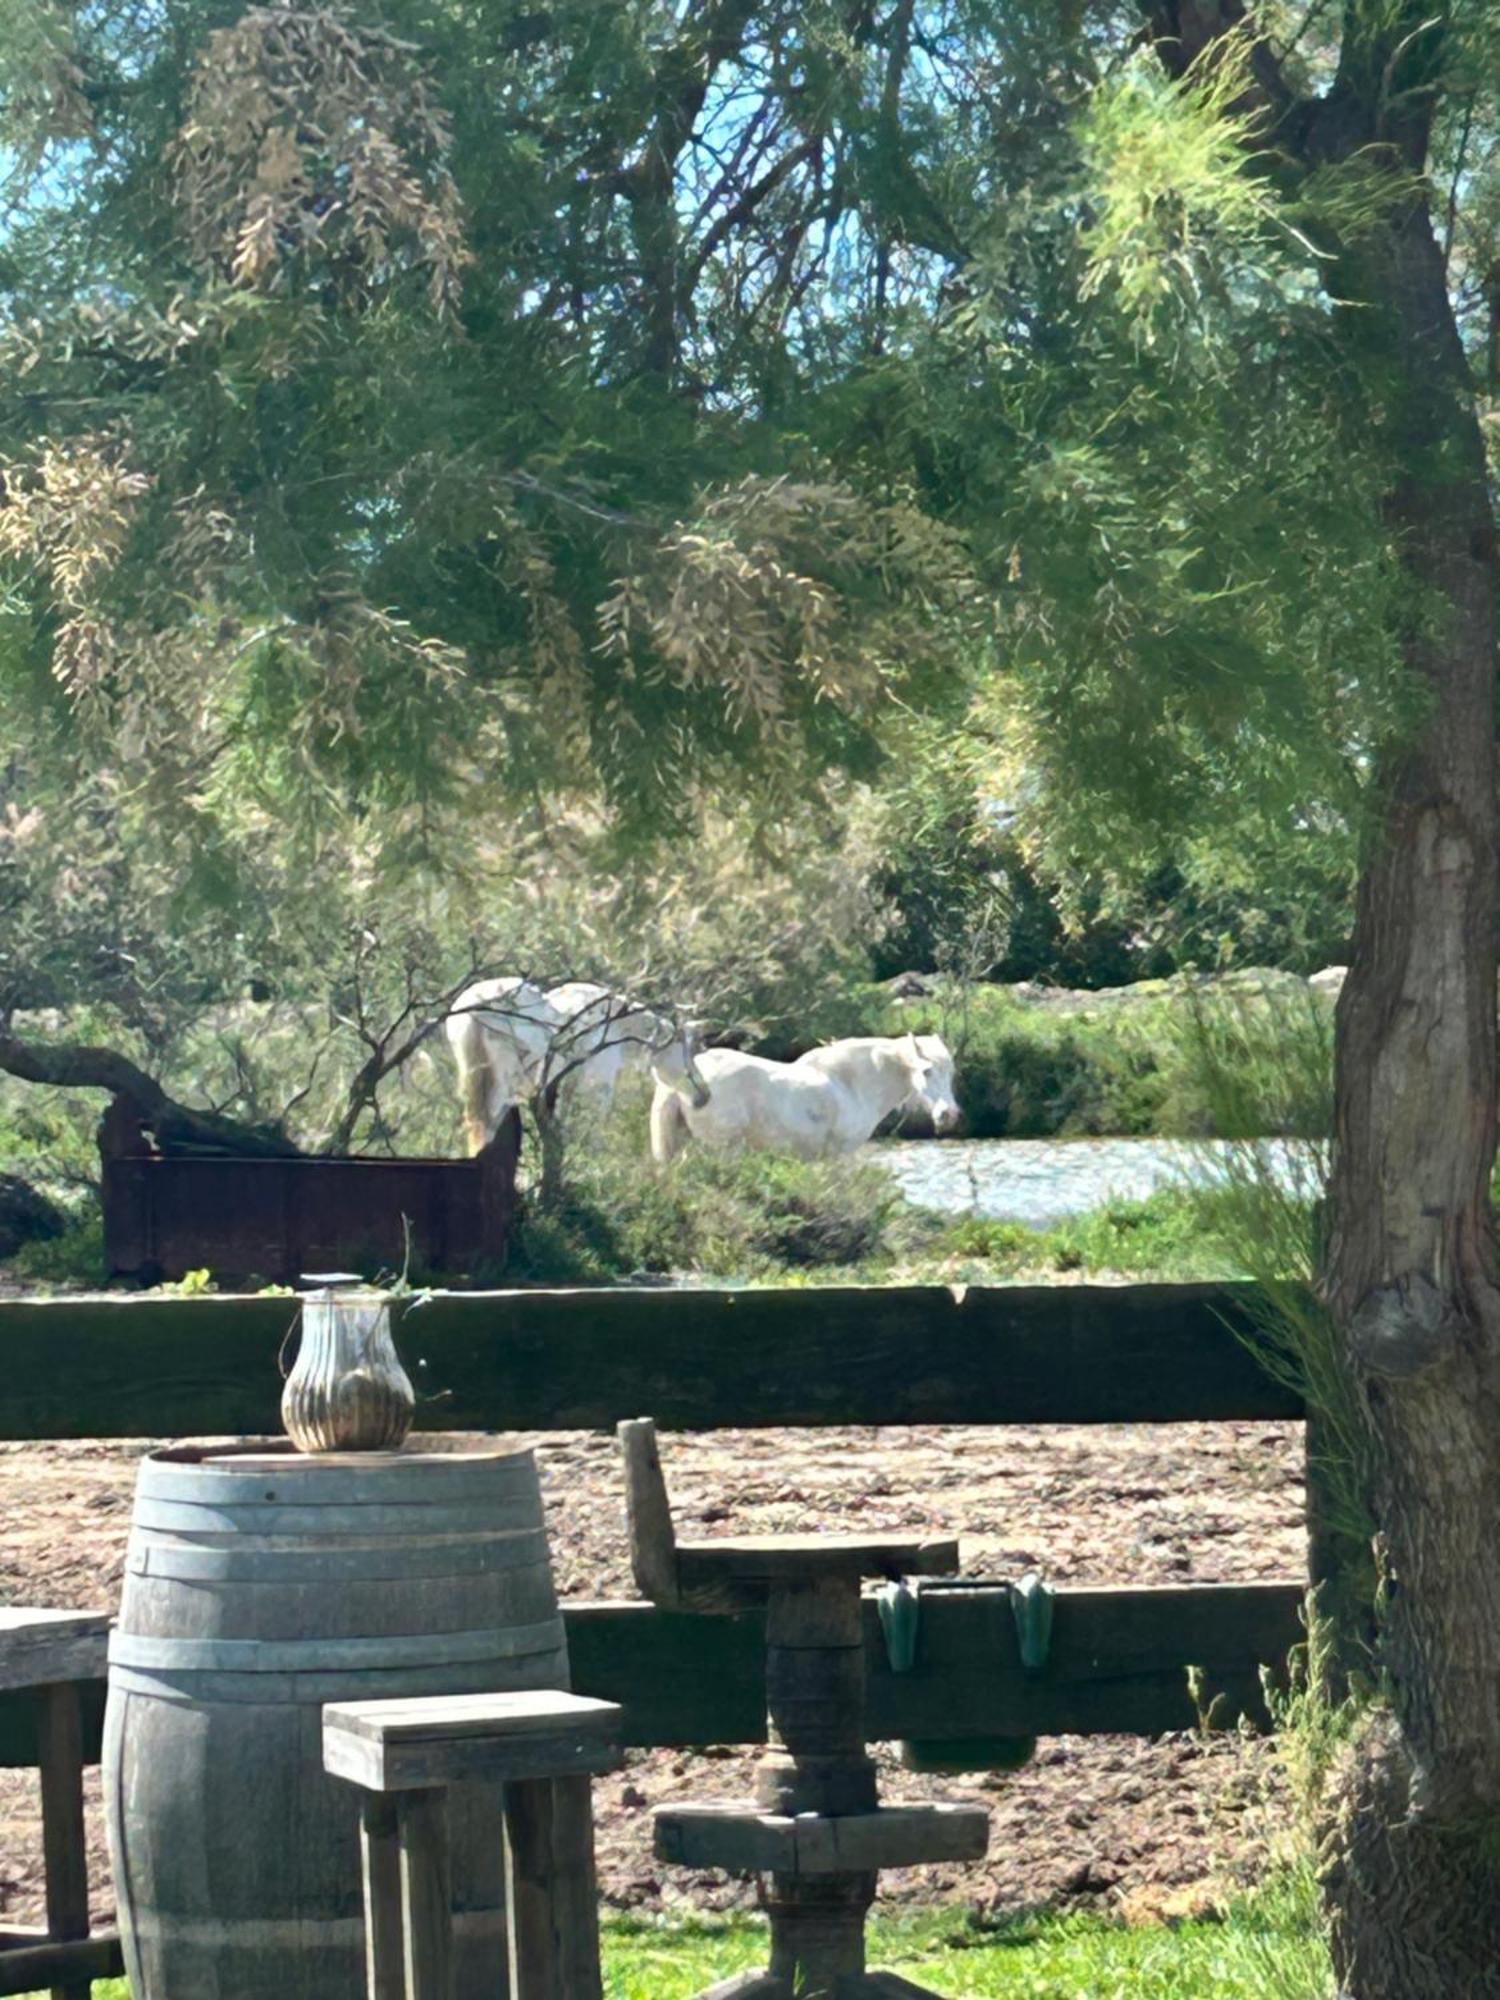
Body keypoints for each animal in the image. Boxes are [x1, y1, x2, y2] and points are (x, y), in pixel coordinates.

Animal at [446, 972, 712, 1152]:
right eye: (688, 1049)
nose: (704, 1095)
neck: (618, 1027)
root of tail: (472, 1009)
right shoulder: (597, 1087)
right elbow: (592, 1134)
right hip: (501, 1082)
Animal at [656, 1040, 964, 1168]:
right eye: (927, 1071)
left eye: (951, 1072)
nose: (948, 1114)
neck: (850, 1083)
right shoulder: (841, 1155)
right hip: (720, 1149)